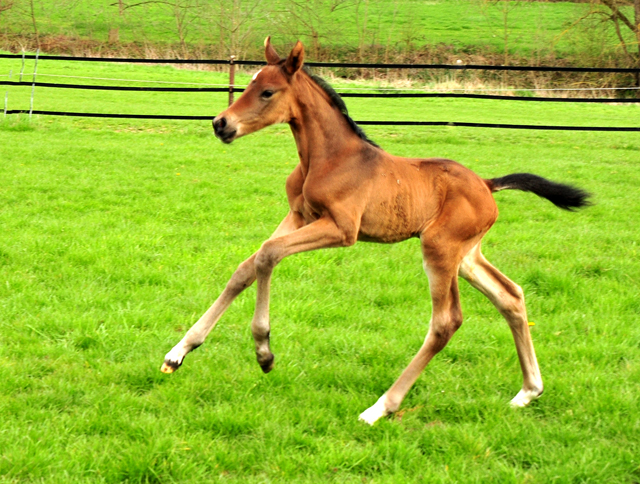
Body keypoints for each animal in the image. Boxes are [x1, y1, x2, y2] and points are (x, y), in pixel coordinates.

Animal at [161, 37, 592, 424]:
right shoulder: (299, 215)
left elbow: (268, 255)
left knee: (446, 322)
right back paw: (528, 392)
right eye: (249, 83)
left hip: (440, 248)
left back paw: (380, 408)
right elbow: (247, 267)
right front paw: (179, 352)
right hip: (467, 255)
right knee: (511, 296)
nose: (221, 124)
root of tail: (487, 185)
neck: (329, 157)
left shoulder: (341, 229)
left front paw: (264, 352)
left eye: (267, 91)